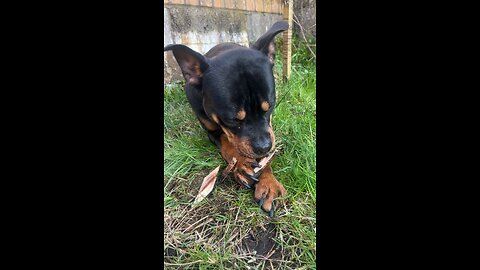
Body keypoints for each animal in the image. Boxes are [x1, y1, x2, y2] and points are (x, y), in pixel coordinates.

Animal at [164, 20, 288, 216]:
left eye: (270, 106)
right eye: (231, 119)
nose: (264, 146)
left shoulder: (268, 131)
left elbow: (264, 158)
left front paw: (268, 183)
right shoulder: (212, 131)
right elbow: (227, 142)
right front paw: (242, 164)